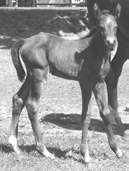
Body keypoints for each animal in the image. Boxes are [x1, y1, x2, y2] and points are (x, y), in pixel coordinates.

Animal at [8, 3, 122, 162]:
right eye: (101, 27)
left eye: (116, 26)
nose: (111, 43)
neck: (95, 52)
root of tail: (24, 41)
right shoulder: (85, 82)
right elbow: (86, 115)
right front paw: (85, 154)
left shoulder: (99, 82)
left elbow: (105, 112)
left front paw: (116, 150)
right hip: (38, 74)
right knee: (32, 105)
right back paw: (44, 150)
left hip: (30, 76)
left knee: (18, 99)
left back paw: (14, 145)